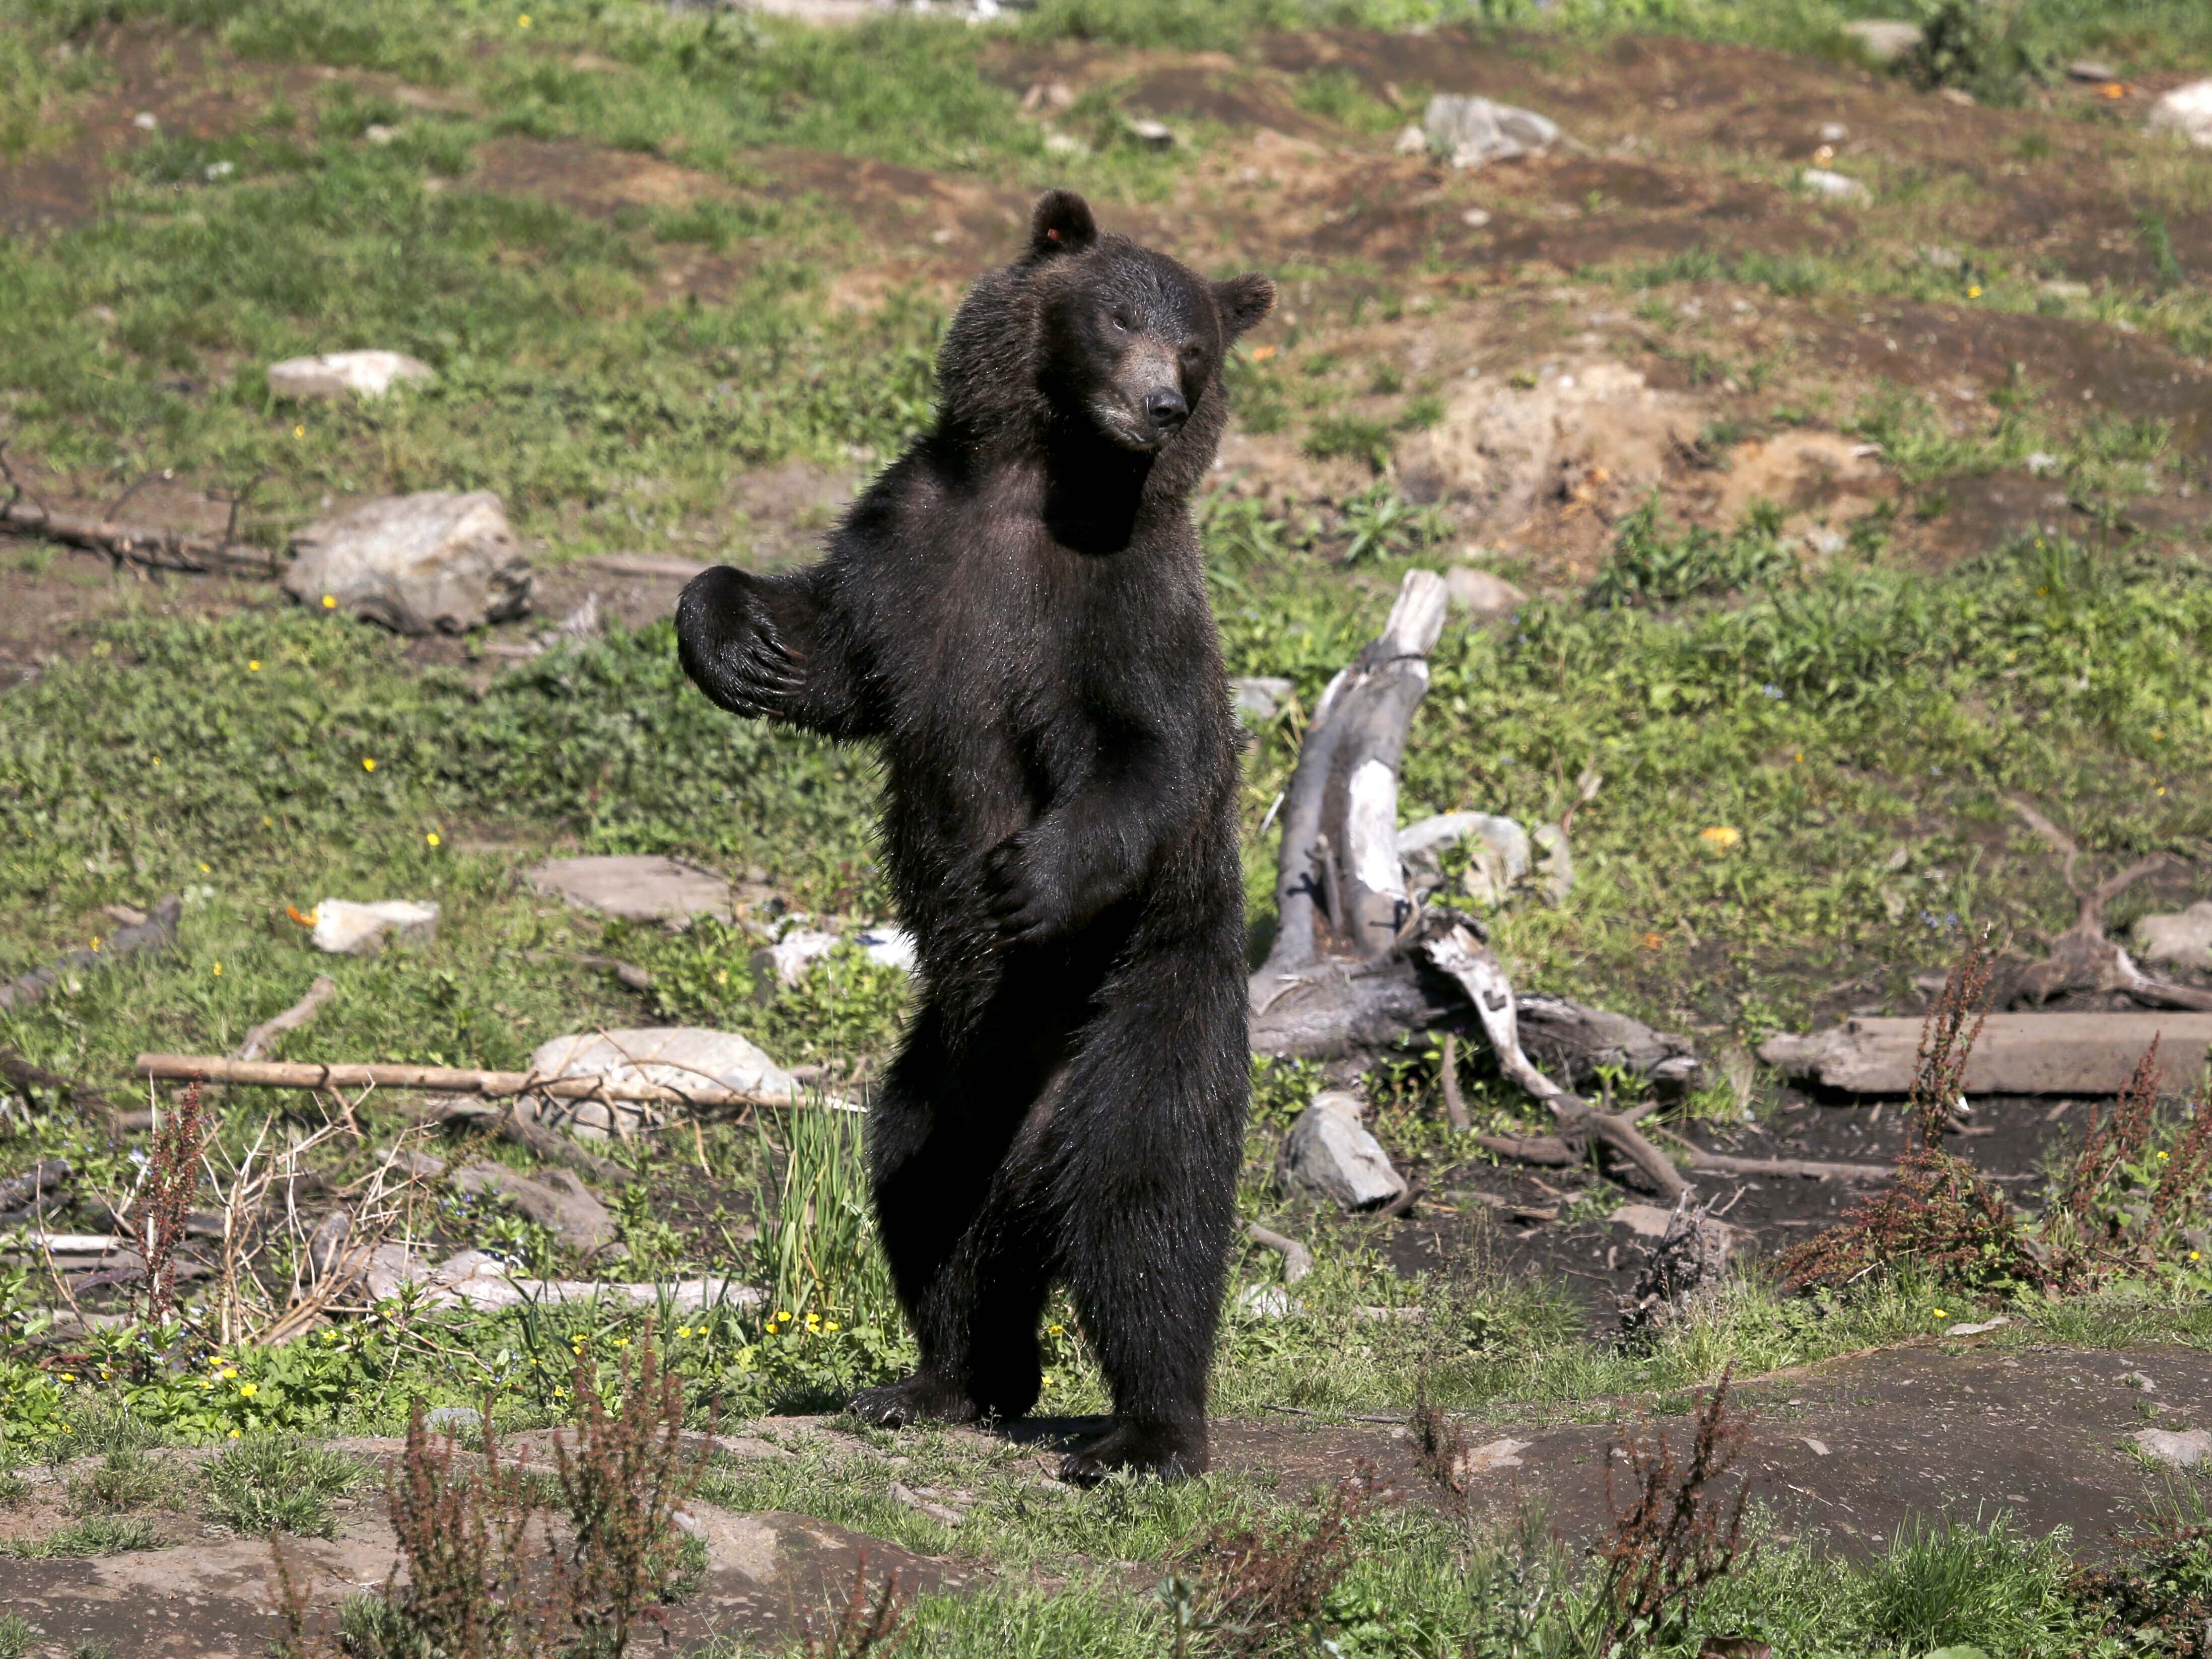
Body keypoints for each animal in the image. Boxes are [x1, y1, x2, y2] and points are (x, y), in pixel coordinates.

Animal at [674, 189, 1273, 1482]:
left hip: (1144, 1010)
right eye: (1119, 315)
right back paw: (941, 1378)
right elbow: (835, 648)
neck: (1044, 478)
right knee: (927, 1196)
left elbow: (1149, 756)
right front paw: (733, 637)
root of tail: (1034, 1123)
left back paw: (1147, 1433)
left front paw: (1025, 877)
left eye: (1196, 347)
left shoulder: (1120, 604)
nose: (1162, 403)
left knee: (1144, 1203)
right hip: (948, 1079)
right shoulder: (915, 547)